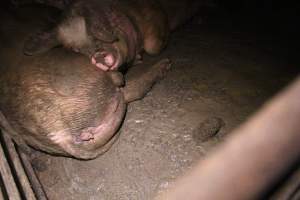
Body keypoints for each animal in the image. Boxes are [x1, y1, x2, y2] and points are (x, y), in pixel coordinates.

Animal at [0, 5, 171, 159]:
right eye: (75, 49)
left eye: (95, 37)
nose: (99, 57)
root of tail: (59, 134)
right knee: (129, 88)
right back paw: (164, 64)